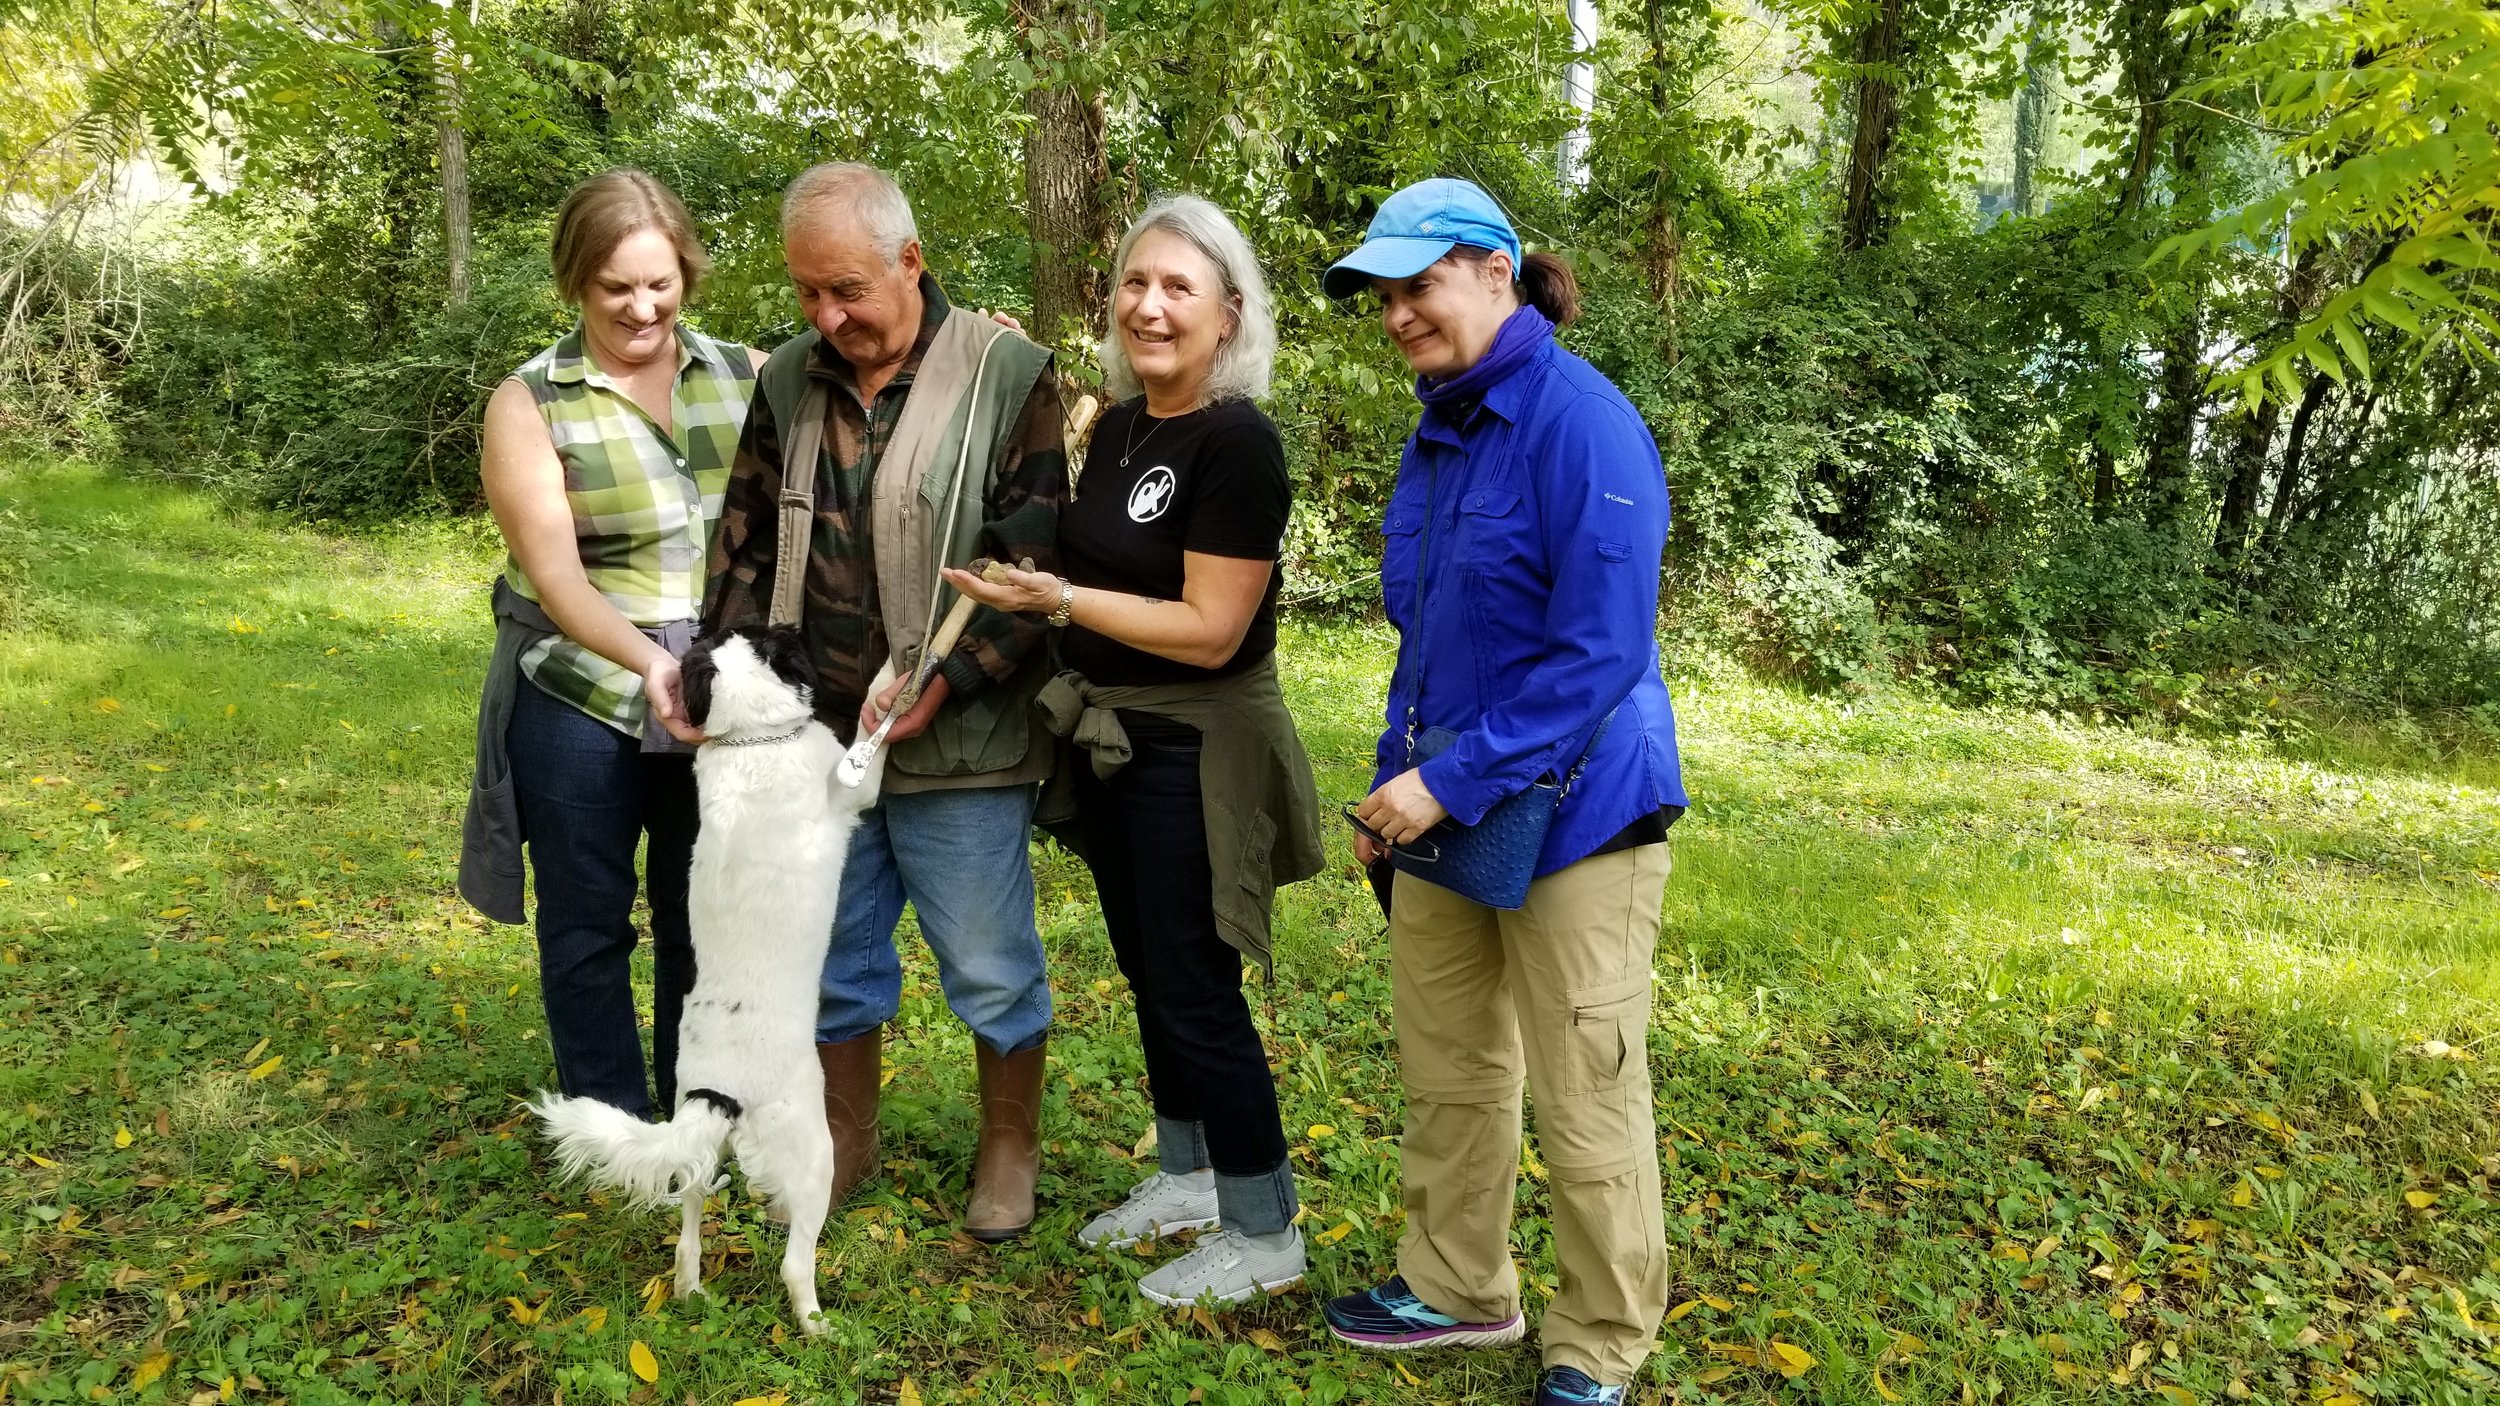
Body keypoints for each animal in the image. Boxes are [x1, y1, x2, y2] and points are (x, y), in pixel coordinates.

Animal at [527, 625, 880, 1330]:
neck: (755, 741)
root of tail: (719, 1091)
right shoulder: (850, 786)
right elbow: (870, 746)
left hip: (699, 1154)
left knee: (687, 1228)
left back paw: (690, 1290)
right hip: (814, 1155)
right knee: (795, 1262)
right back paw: (817, 1326)